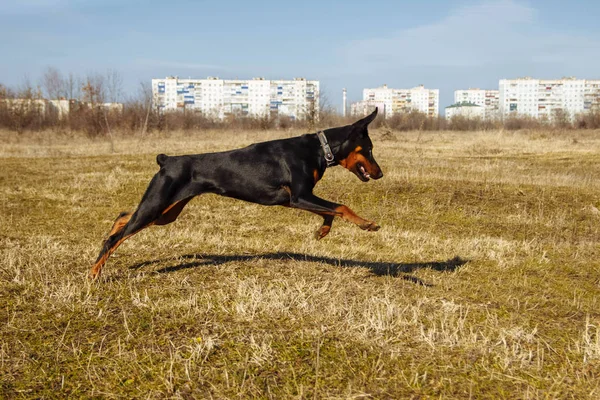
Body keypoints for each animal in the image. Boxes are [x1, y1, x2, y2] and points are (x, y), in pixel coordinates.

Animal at [91, 108, 382, 280]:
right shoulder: (299, 196)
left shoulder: (297, 199)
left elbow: (330, 211)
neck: (319, 149)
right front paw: (367, 223)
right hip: (158, 205)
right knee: (117, 236)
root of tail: (166, 160)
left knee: (123, 217)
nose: (380, 174)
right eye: (368, 149)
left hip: (166, 212)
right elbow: (341, 206)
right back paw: (94, 272)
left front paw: (322, 231)